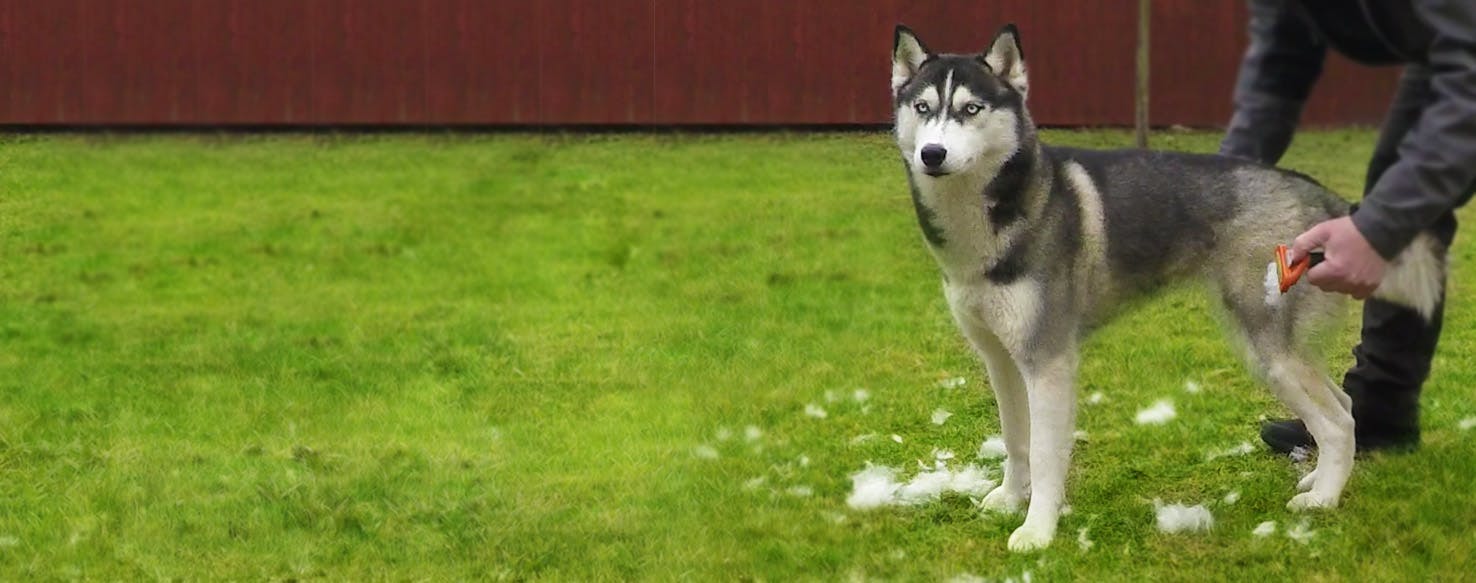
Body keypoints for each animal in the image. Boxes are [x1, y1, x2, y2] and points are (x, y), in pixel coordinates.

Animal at [891, 23, 1446, 552]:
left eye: (971, 109)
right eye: (923, 108)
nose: (932, 154)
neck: (990, 224)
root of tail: (1326, 200)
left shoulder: (1048, 361)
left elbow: (1047, 454)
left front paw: (1038, 530)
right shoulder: (1001, 359)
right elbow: (1015, 439)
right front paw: (1010, 500)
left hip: (1269, 351)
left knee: (1338, 422)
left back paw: (1324, 500)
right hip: (1274, 350)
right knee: (1346, 406)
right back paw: (1319, 479)